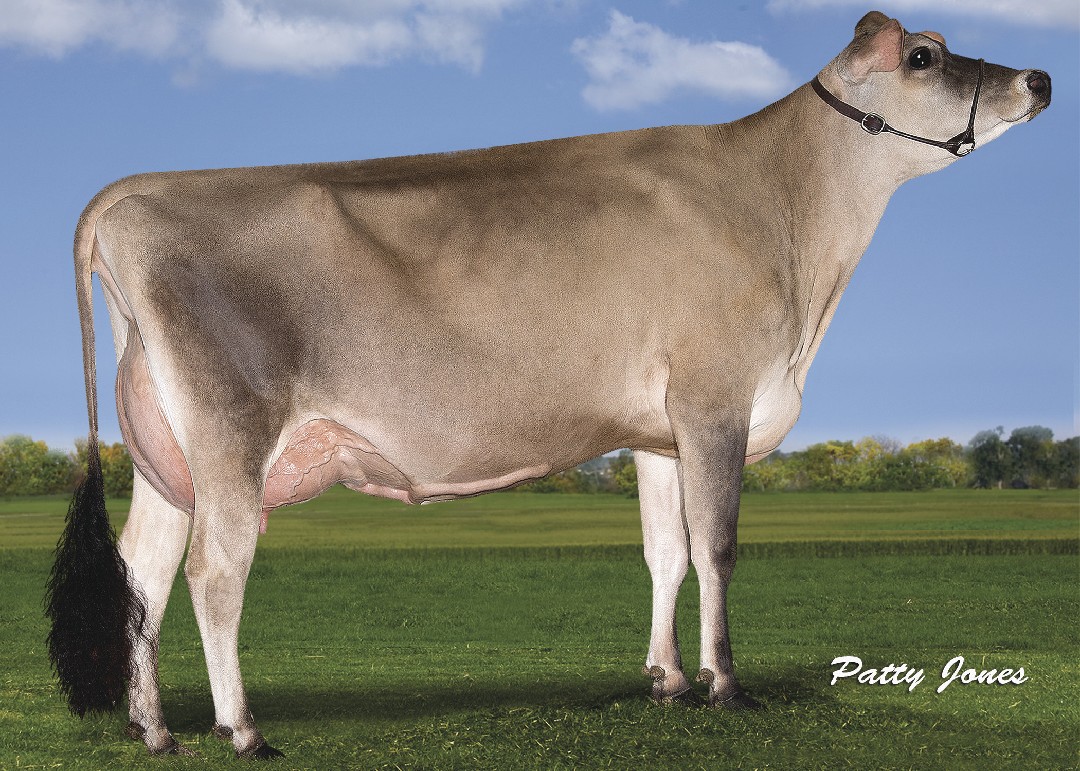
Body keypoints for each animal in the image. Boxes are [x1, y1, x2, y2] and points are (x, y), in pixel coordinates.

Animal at [46, 10, 1050, 759]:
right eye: (924, 57)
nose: (1039, 79)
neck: (791, 222)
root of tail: (132, 192)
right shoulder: (716, 398)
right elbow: (718, 547)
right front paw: (725, 684)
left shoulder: (658, 429)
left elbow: (666, 551)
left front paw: (669, 679)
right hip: (231, 431)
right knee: (215, 573)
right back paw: (242, 729)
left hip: (166, 449)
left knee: (143, 572)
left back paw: (153, 728)